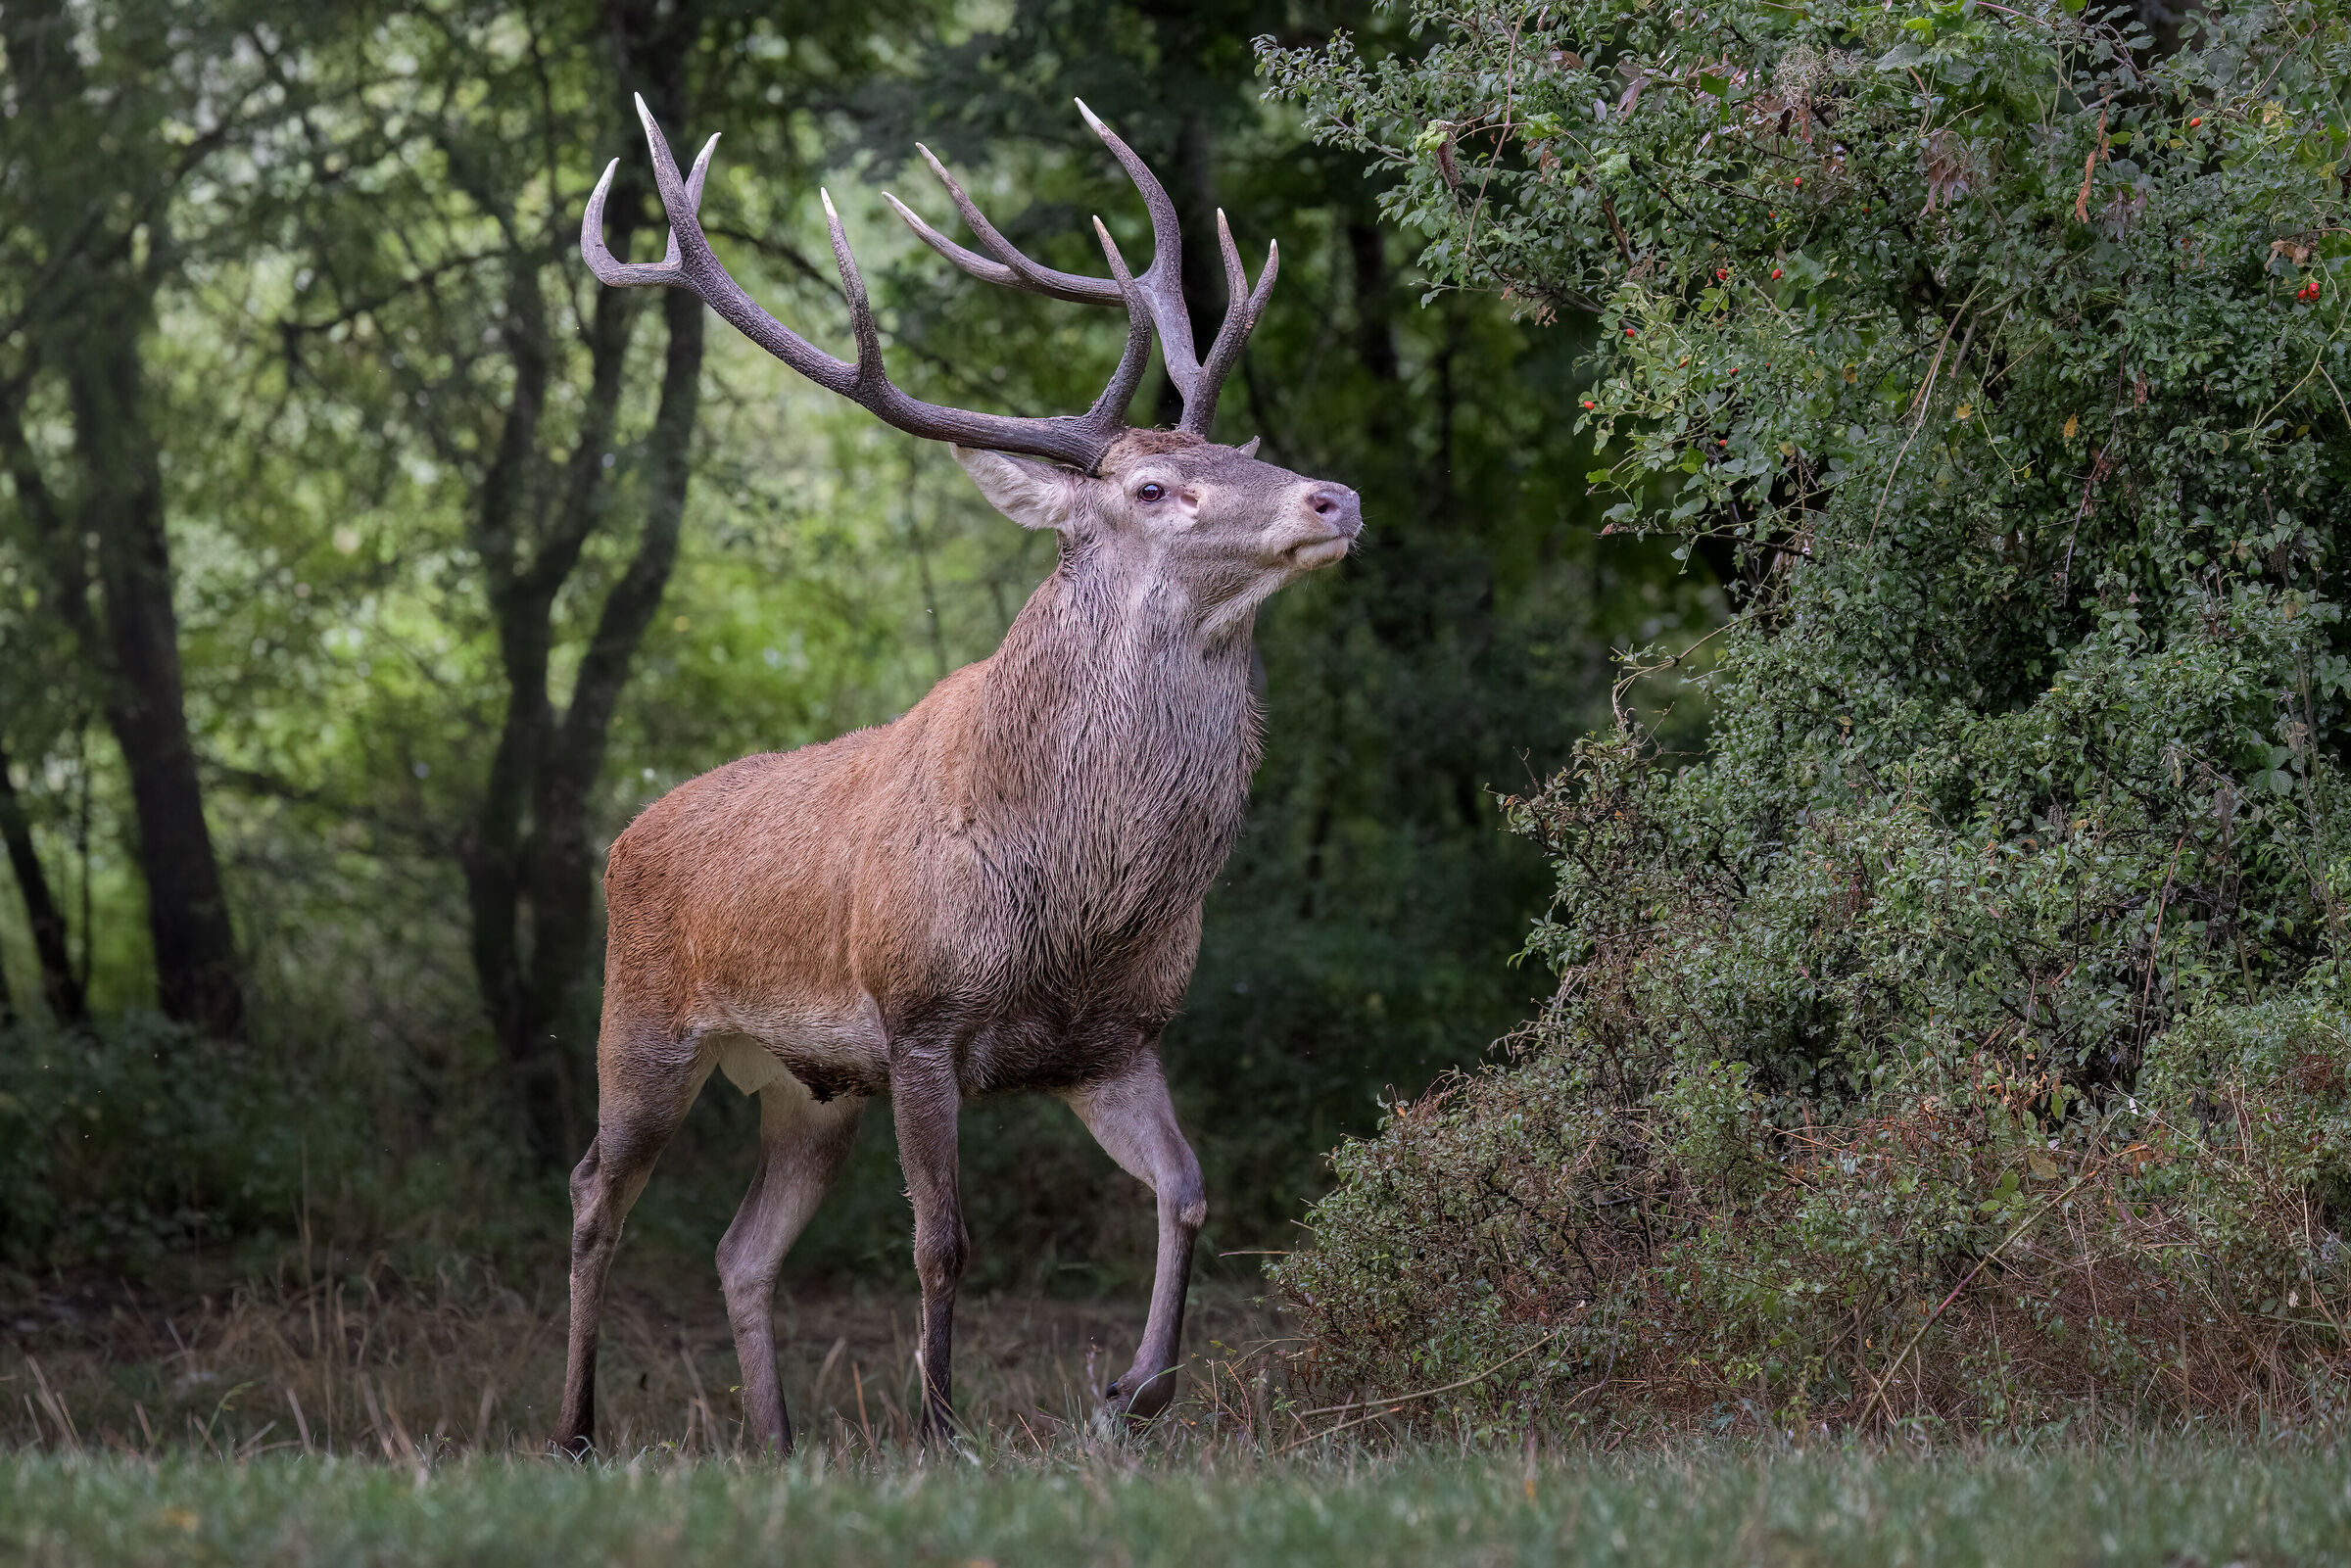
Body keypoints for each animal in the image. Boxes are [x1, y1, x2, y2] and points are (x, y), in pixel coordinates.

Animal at [554, 94, 1360, 1458]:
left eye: (1231, 452)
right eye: (1156, 485)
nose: (1334, 494)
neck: (1080, 899)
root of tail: (627, 834)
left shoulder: (1115, 1036)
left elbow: (1191, 1189)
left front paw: (1130, 1392)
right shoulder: (921, 1016)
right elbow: (943, 1241)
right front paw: (943, 1433)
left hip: (809, 1085)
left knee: (740, 1247)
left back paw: (776, 1441)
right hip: (643, 1025)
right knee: (589, 1194)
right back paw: (573, 1429)